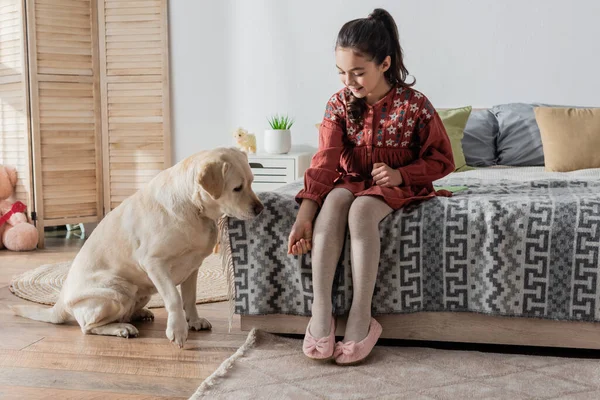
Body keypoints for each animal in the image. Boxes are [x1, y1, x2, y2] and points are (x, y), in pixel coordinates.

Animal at [11, 146, 262, 346]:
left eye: (252, 182)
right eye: (237, 188)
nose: (260, 209)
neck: (194, 206)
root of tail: (61, 301)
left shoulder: (193, 266)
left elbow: (189, 298)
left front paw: (194, 320)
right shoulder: (154, 263)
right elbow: (174, 297)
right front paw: (178, 330)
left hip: (140, 292)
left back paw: (139, 314)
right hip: (118, 291)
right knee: (88, 327)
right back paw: (121, 328)